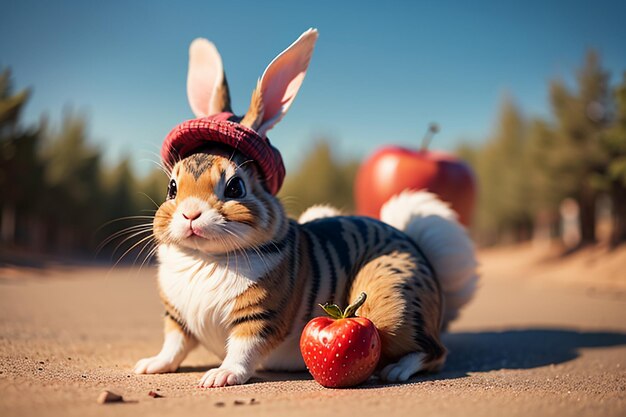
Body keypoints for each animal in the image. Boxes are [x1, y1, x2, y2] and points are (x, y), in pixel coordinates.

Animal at [133, 28, 478, 386]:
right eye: (172, 188)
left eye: (235, 187)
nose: (190, 213)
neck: (206, 259)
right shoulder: (177, 317)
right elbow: (174, 344)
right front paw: (152, 364)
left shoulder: (262, 316)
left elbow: (242, 350)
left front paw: (222, 375)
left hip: (392, 303)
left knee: (433, 351)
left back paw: (398, 369)